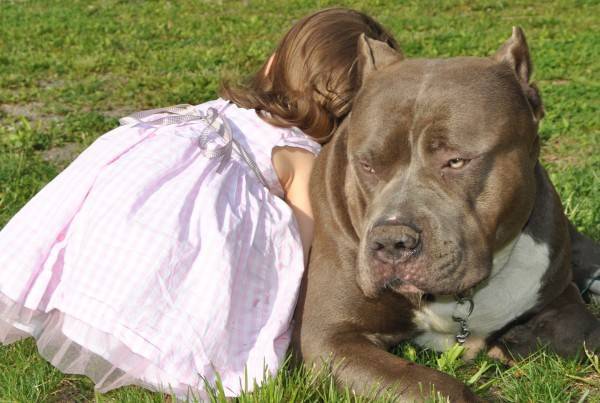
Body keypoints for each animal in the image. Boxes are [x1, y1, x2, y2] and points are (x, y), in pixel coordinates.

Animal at [292, 27, 600, 402]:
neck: (463, 298)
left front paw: (515, 339)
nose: (390, 241)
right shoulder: (331, 337)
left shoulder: (559, 294)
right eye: (366, 165)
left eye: (455, 161)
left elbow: (580, 331)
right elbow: (438, 387)